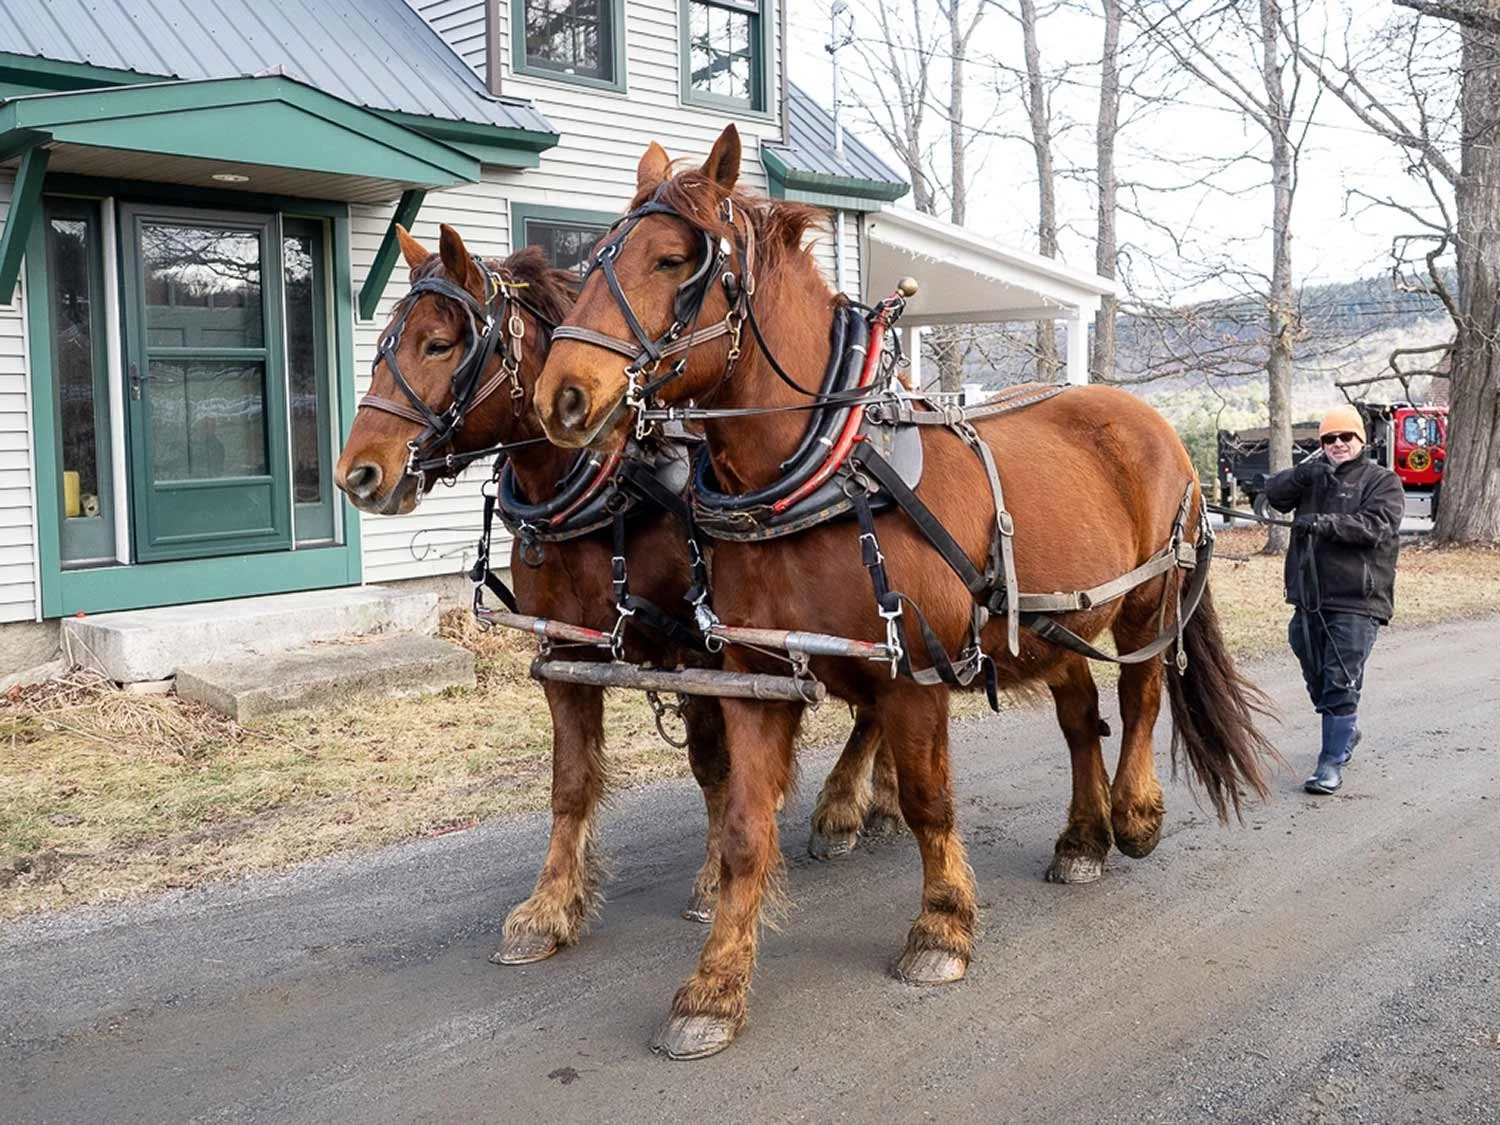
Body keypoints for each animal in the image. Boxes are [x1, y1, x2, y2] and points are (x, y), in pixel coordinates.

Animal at [334, 225, 901, 966]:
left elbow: (715, 767)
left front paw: (711, 878)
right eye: (380, 345)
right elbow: (571, 781)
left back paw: (847, 803)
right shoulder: (563, 653)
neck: (613, 486)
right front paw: (550, 906)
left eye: (437, 344)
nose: (357, 474)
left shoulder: (705, 652)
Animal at [533, 125, 1276, 1059]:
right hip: (1045, 619)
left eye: (672, 260)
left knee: (1140, 696)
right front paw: (714, 986)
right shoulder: (757, 677)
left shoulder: (913, 671)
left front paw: (943, 926)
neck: (822, 465)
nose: (560, 395)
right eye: (594, 258)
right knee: (1079, 717)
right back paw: (1082, 836)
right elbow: (742, 831)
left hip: (1151, 596)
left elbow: (928, 802)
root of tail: (1151, 422)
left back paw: (1135, 813)